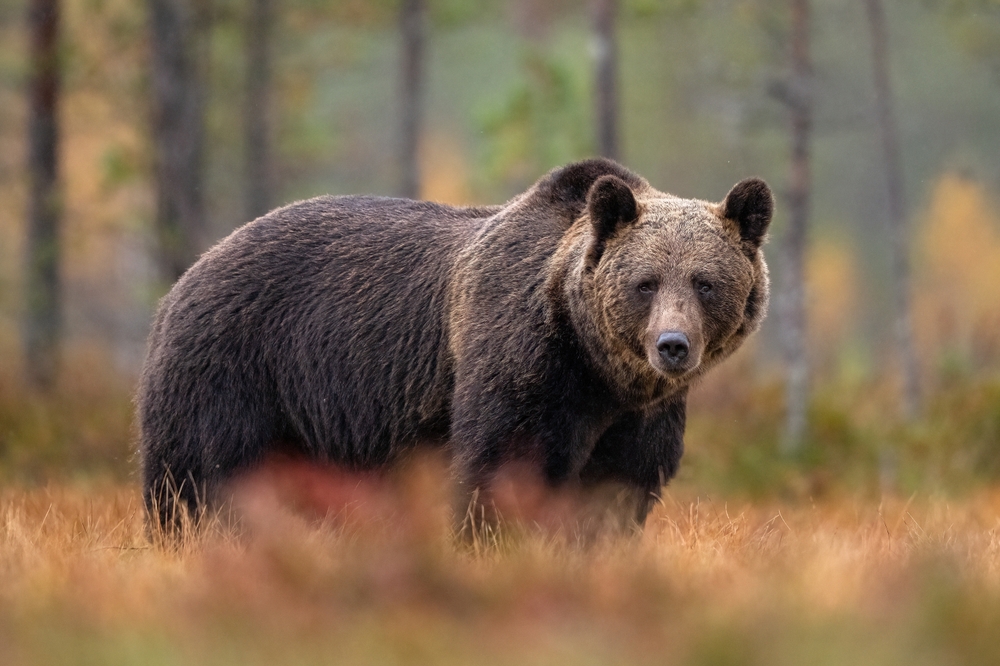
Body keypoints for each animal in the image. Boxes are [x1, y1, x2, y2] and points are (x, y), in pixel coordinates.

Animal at [138, 158, 772, 534]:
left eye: (705, 282)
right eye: (646, 282)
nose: (672, 345)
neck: (596, 369)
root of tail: (188, 274)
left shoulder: (640, 415)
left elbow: (620, 487)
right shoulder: (521, 359)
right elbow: (503, 463)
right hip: (236, 368)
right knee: (203, 475)